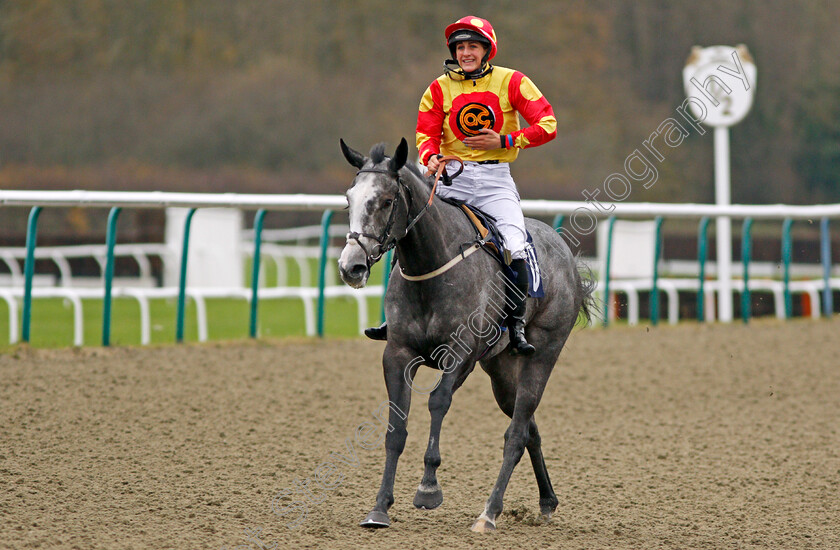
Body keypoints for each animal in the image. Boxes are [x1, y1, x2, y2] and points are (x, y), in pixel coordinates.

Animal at [338, 139, 592, 536]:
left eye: (386, 201)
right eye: (349, 199)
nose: (351, 266)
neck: (431, 268)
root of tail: (565, 253)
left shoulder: (460, 353)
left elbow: (438, 403)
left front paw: (428, 488)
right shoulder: (397, 354)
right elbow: (396, 427)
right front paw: (379, 508)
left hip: (542, 354)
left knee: (516, 433)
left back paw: (489, 512)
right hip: (501, 370)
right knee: (528, 426)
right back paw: (546, 501)